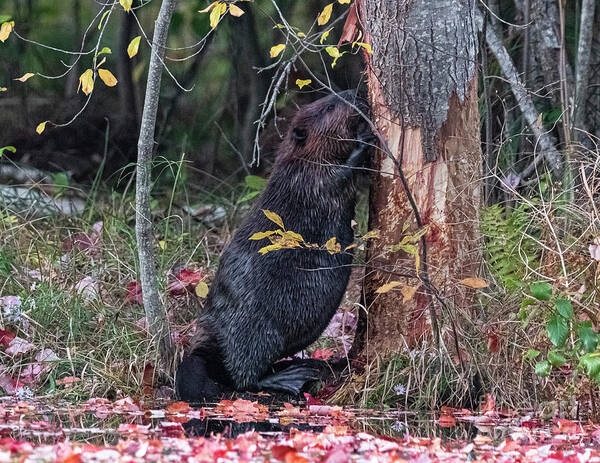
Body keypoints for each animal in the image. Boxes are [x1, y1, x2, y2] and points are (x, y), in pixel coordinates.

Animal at [176, 90, 370, 402]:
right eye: (330, 106)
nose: (356, 93)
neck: (295, 160)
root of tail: (200, 352)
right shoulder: (308, 179)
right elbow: (340, 173)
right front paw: (365, 139)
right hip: (255, 334)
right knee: (244, 378)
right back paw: (291, 376)